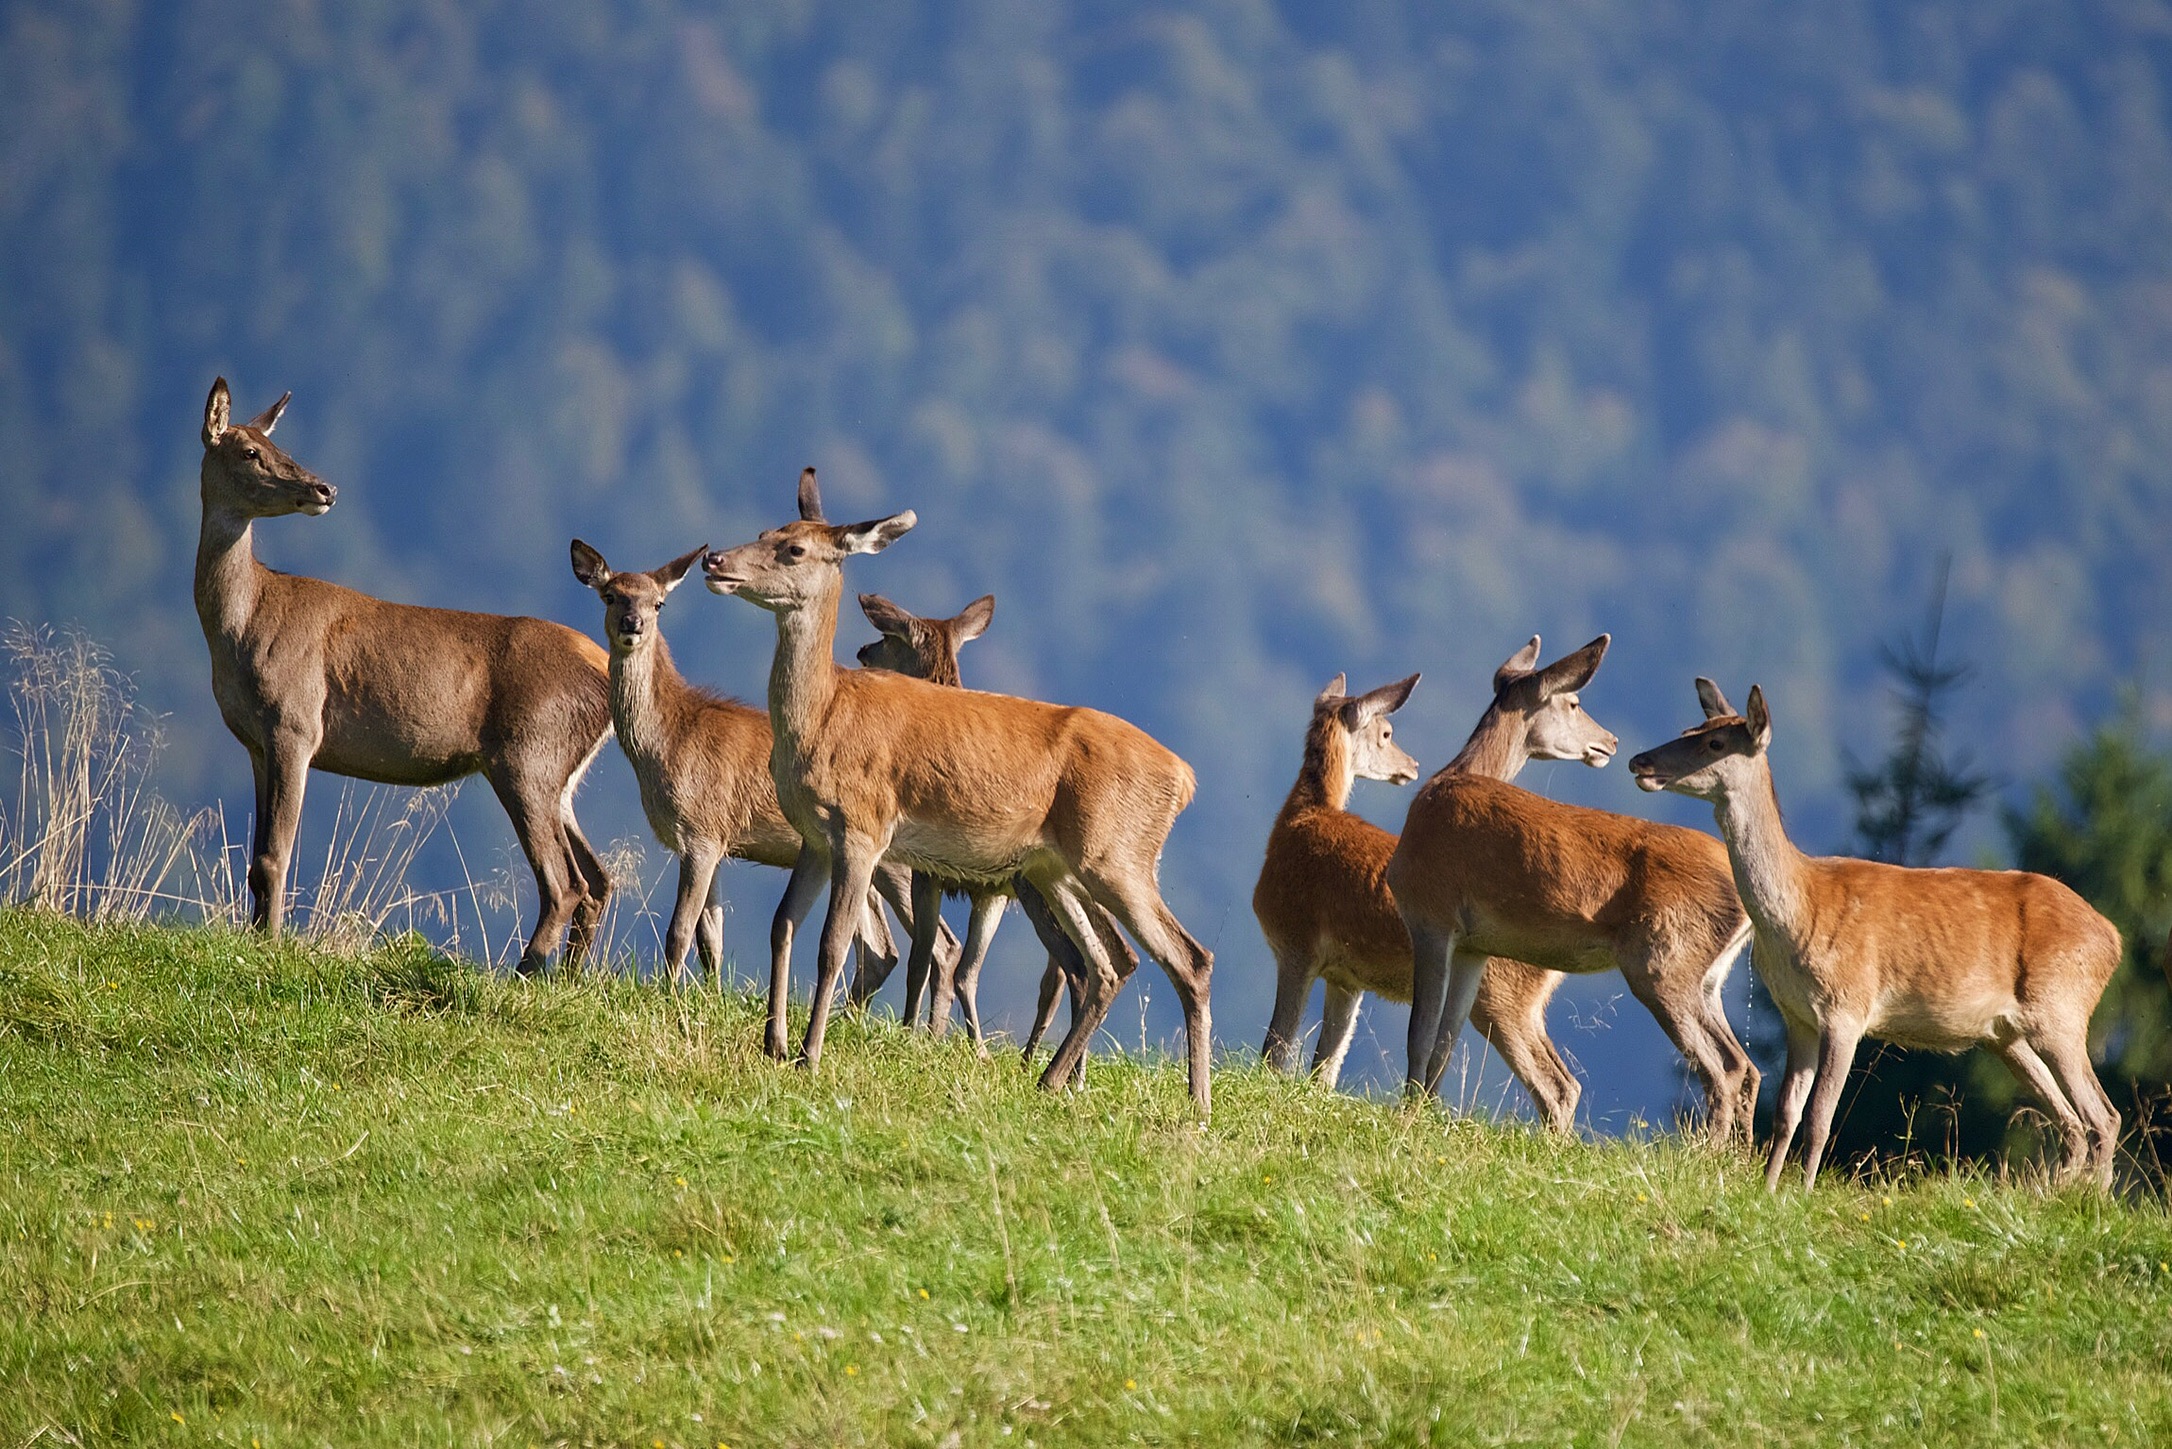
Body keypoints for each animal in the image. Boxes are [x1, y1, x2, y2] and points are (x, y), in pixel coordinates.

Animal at [194, 378, 612, 972]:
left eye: (275, 445)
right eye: (251, 450)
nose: (324, 488)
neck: (245, 625)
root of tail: (607, 668)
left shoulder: (296, 723)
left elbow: (274, 857)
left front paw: (270, 947)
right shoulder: (255, 742)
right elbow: (256, 860)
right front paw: (256, 938)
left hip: (528, 754)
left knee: (565, 882)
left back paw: (523, 973)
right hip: (559, 775)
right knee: (598, 878)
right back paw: (568, 976)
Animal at [568, 541, 953, 991]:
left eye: (659, 602)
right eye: (610, 596)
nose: (634, 623)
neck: (668, 744)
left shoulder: (701, 832)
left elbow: (679, 930)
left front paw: (669, 996)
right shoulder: (716, 840)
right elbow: (711, 938)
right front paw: (707, 997)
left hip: (898, 859)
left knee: (942, 945)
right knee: (883, 951)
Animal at [849, 591, 1133, 1078]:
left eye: (888, 637)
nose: (862, 651)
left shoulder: (930, 874)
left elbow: (924, 959)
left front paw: (913, 1034)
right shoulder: (989, 892)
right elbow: (965, 969)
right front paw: (951, 1039)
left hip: (1041, 896)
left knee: (1077, 968)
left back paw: (1053, 1068)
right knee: (1074, 971)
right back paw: (1060, 1067)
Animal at [1384, 643, 1762, 1142]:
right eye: (1575, 702)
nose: (1611, 741)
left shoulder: (1431, 913)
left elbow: (1420, 1033)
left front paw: (1407, 1118)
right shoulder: (1473, 945)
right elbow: (1444, 1040)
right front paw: (1425, 1112)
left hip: (1661, 962)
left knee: (1722, 1068)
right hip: (1706, 977)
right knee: (1744, 1064)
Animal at [1630, 680, 2123, 1190]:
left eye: (1714, 743)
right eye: (1688, 729)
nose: (1639, 761)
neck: (1801, 911)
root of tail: (2113, 937)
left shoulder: (1846, 1008)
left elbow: (1820, 1116)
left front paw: (1800, 1193)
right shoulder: (1797, 1015)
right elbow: (1787, 1112)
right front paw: (1767, 1190)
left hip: (2061, 1010)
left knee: (2103, 1116)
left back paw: (2092, 1201)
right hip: (2007, 1035)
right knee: (2071, 1120)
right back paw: (2055, 1193)